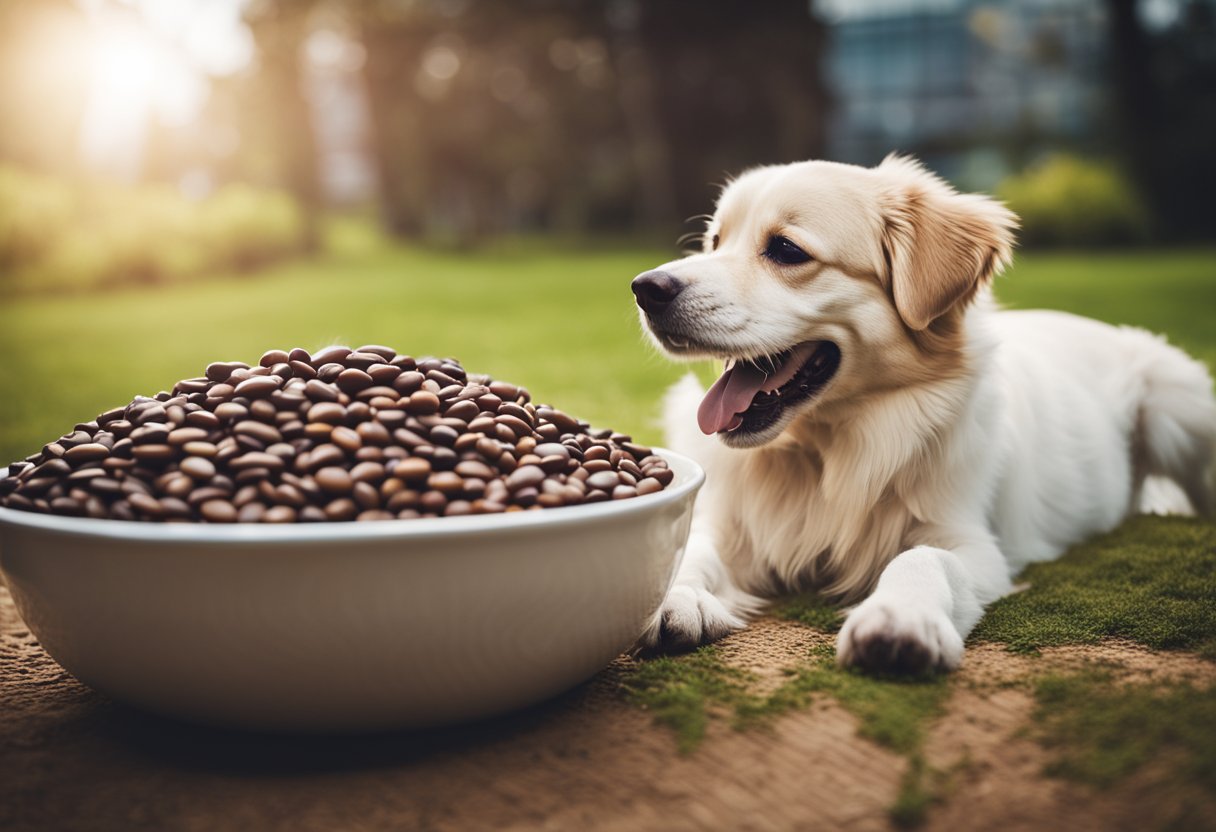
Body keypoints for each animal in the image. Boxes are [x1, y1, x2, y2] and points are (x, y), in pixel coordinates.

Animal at [637, 158, 1216, 676]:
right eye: (714, 242)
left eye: (786, 249)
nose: (646, 288)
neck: (825, 454)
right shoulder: (734, 525)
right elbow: (693, 548)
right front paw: (674, 597)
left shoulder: (972, 543)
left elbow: (922, 559)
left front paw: (900, 619)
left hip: (1176, 408)